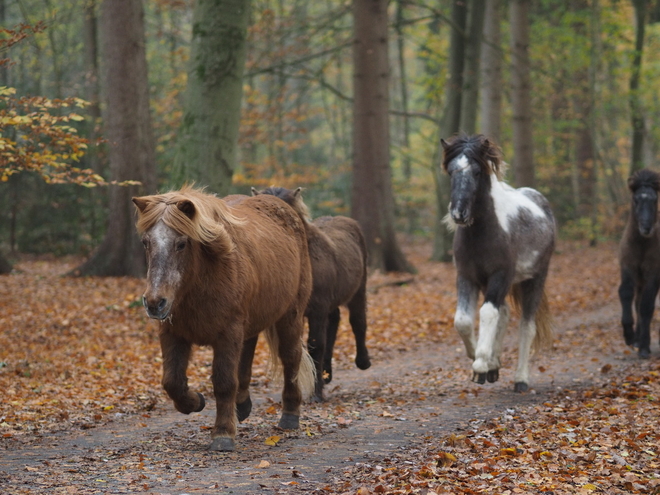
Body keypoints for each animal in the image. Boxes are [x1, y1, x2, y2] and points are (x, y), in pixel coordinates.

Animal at [133, 188, 316, 452]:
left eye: (181, 243)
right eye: (146, 242)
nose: (155, 303)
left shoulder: (227, 335)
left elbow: (224, 382)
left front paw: (222, 434)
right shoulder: (173, 334)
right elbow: (172, 382)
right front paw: (196, 402)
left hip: (289, 317)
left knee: (290, 358)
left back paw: (290, 416)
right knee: (247, 357)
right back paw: (242, 406)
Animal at [251, 186, 368, 404]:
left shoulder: (317, 310)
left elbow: (315, 346)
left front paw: (316, 393)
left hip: (359, 289)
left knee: (358, 321)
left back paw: (363, 362)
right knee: (334, 322)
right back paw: (327, 374)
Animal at [444, 134, 556, 394]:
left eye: (476, 172)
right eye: (451, 171)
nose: (458, 214)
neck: (482, 232)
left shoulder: (500, 275)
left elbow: (487, 313)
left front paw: (479, 366)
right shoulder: (467, 276)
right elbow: (463, 320)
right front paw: (479, 358)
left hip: (535, 279)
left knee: (526, 326)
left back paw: (520, 379)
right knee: (503, 313)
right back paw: (494, 366)